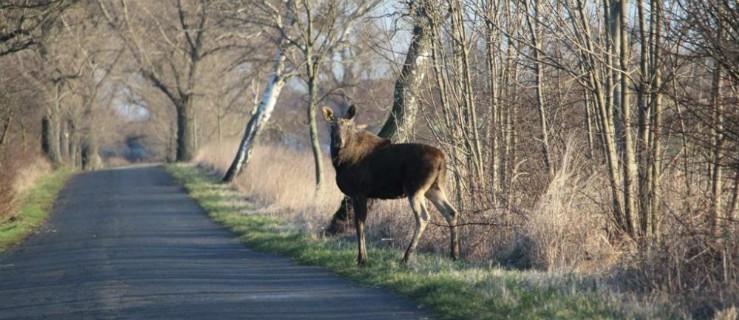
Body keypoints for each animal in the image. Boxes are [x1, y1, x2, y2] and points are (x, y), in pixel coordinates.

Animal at [322, 105, 460, 264]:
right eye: (331, 125)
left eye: (348, 126)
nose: (338, 142)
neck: (340, 163)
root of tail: (442, 160)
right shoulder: (361, 194)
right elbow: (361, 223)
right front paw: (363, 257)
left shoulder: (359, 192)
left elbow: (359, 224)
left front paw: (362, 259)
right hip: (434, 188)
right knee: (451, 212)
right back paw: (454, 254)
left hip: (415, 188)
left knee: (423, 217)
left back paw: (406, 257)